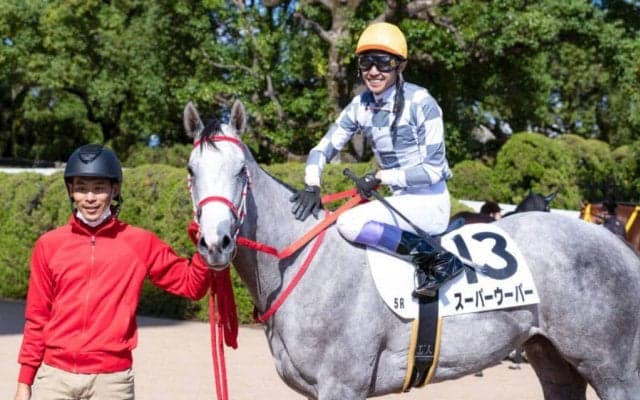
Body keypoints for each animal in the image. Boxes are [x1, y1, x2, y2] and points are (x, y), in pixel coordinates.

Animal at [185, 100, 640, 400]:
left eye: (240, 171)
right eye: (191, 171)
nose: (215, 242)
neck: (301, 265)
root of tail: (616, 244)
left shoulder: (341, 385)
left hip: (613, 371)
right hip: (553, 358)